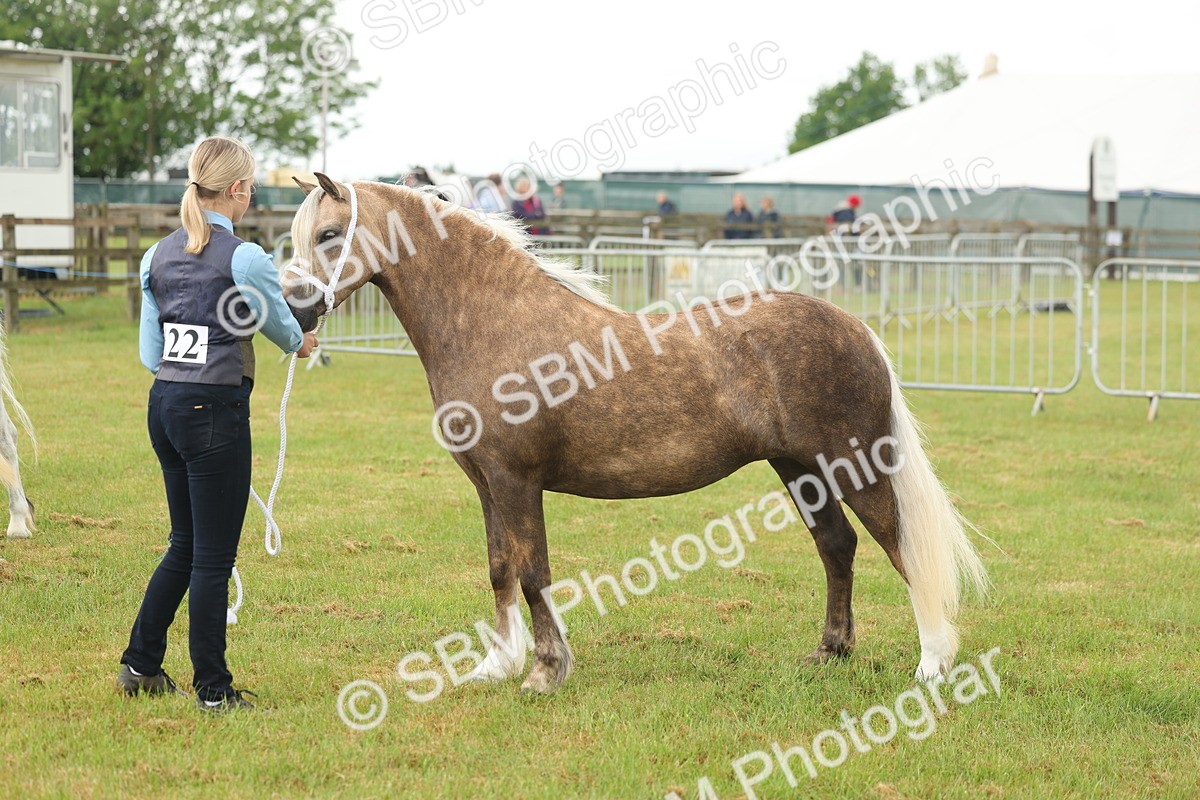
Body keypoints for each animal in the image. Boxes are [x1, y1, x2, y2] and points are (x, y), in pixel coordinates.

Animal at [282, 174, 988, 693]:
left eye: (329, 234)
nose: (295, 308)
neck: (494, 320)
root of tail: (854, 327)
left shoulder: (516, 480)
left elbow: (533, 572)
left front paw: (544, 673)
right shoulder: (485, 483)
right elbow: (501, 569)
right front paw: (495, 666)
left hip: (855, 464)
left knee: (901, 547)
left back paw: (931, 665)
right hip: (800, 468)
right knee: (837, 547)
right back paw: (829, 652)